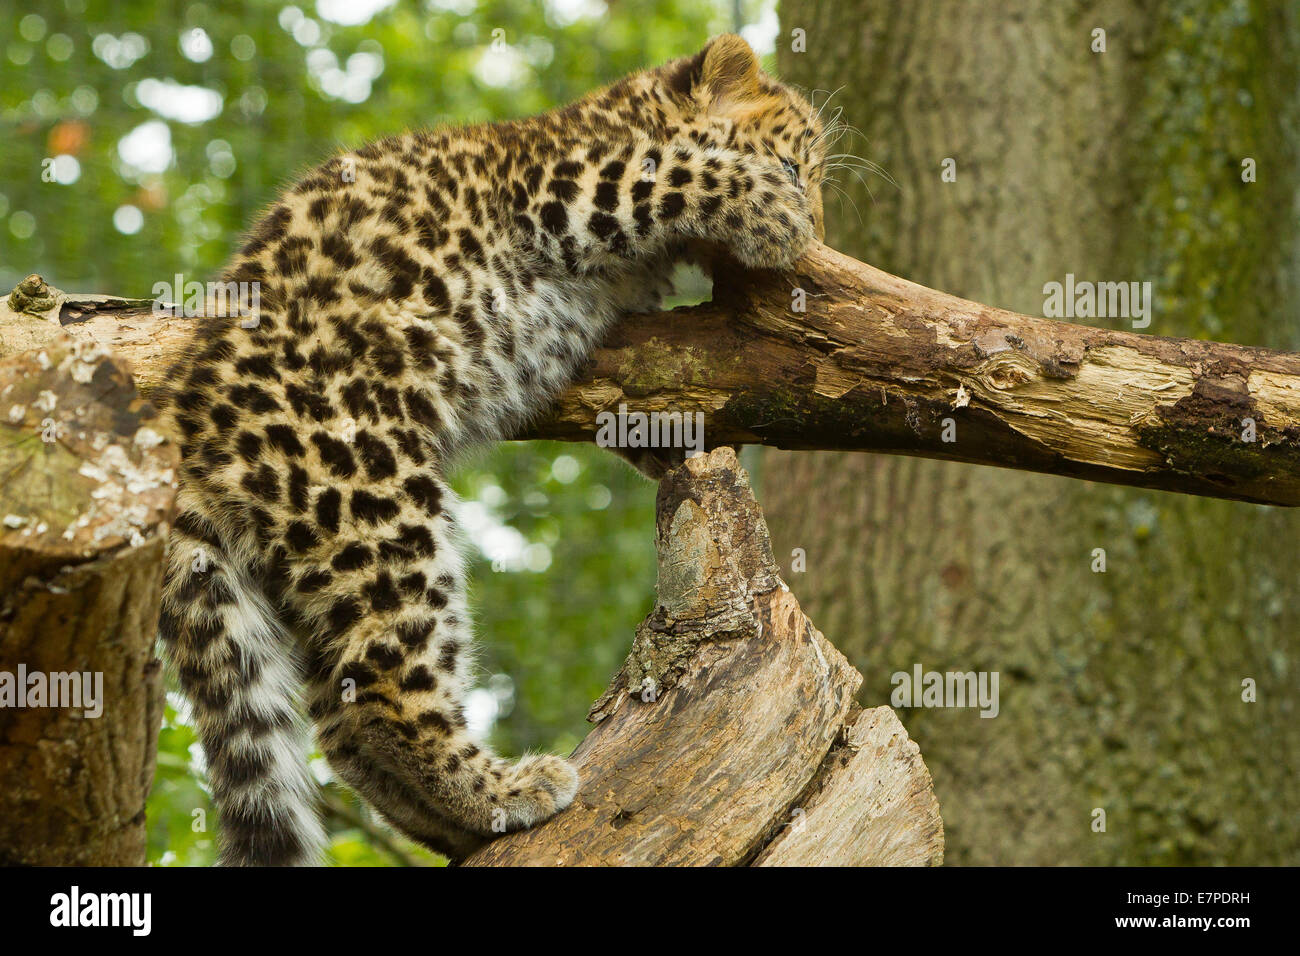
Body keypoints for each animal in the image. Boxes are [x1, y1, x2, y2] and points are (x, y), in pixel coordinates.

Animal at [153, 33, 829, 866]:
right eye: (797, 164)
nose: (821, 231)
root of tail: (191, 439)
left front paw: (683, 452)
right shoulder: (567, 187)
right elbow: (680, 173)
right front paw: (772, 212)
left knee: (340, 721)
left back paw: (466, 820)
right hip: (369, 499)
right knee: (383, 693)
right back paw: (504, 791)